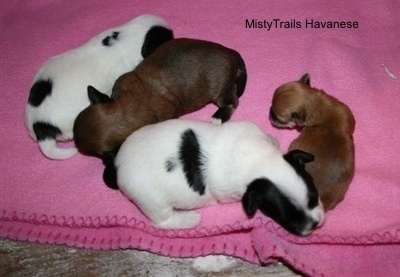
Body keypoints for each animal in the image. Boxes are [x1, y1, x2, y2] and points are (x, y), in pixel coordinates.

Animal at [107, 118, 324, 235]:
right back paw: (189, 219)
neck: (256, 161)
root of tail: (118, 164)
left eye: (315, 195)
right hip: (151, 201)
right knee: (161, 221)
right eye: (284, 218)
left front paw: (273, 139)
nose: (315, 224)